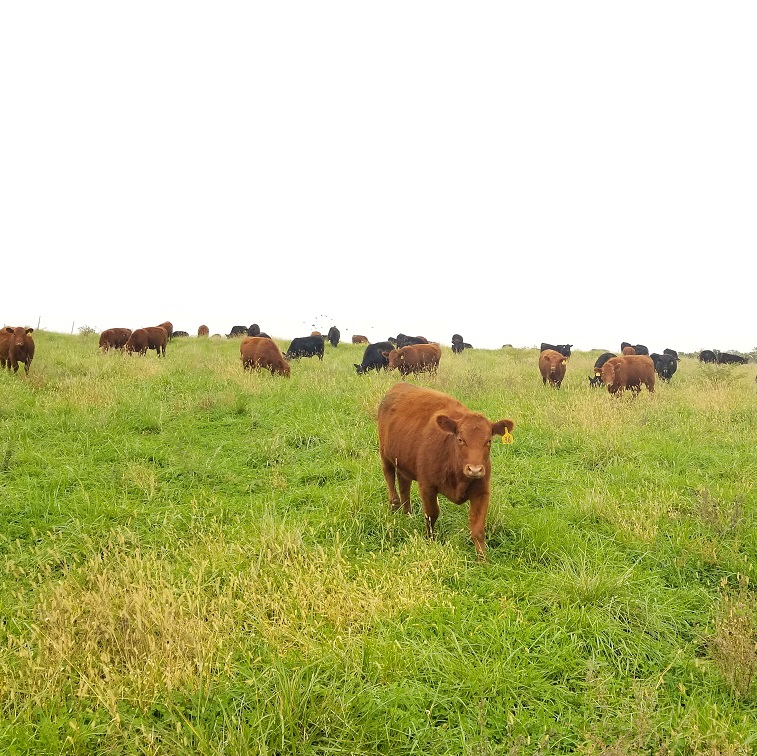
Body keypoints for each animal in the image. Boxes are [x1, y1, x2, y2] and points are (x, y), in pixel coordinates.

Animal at [376, 384, 512, 556]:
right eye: (460, 439)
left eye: (489, 441)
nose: (475, 470)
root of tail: (399, 386)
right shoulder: (427, 486)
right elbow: (431, 515)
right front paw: (430, 541)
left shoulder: (482, 492)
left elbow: (478, 529)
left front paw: (483, 559)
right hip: (385, 456)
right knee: (391, 481)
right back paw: (394, 508)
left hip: (402, 461)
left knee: (404, 486)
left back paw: (407, 514)